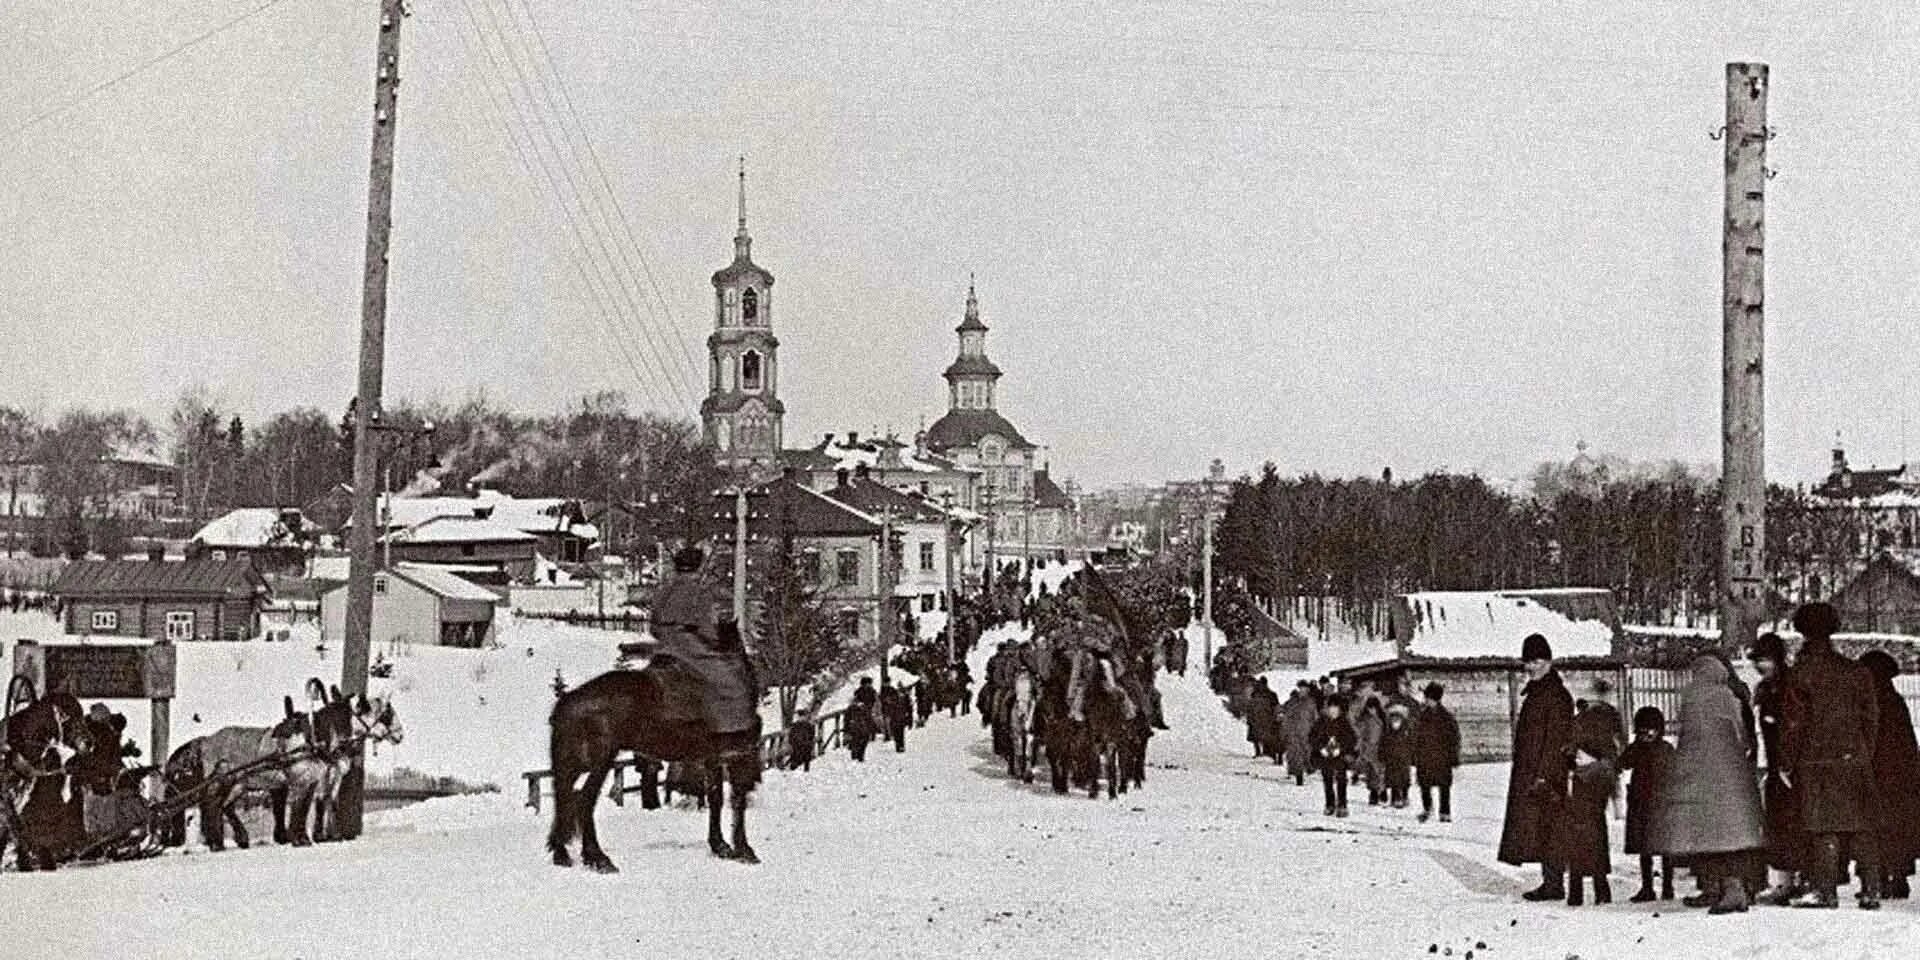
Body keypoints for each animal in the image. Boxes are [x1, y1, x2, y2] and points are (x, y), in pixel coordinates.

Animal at [545, 664, 760, 875]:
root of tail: (567, 702)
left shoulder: (714, 759)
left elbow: (716, 799)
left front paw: (720, 846)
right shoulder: (740, 755)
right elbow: (738, 803)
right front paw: (744, 850)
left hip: (574, 764)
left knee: (563, 800)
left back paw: (562, 854)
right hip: (599, 760)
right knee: (584, 799)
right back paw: (598, 858)